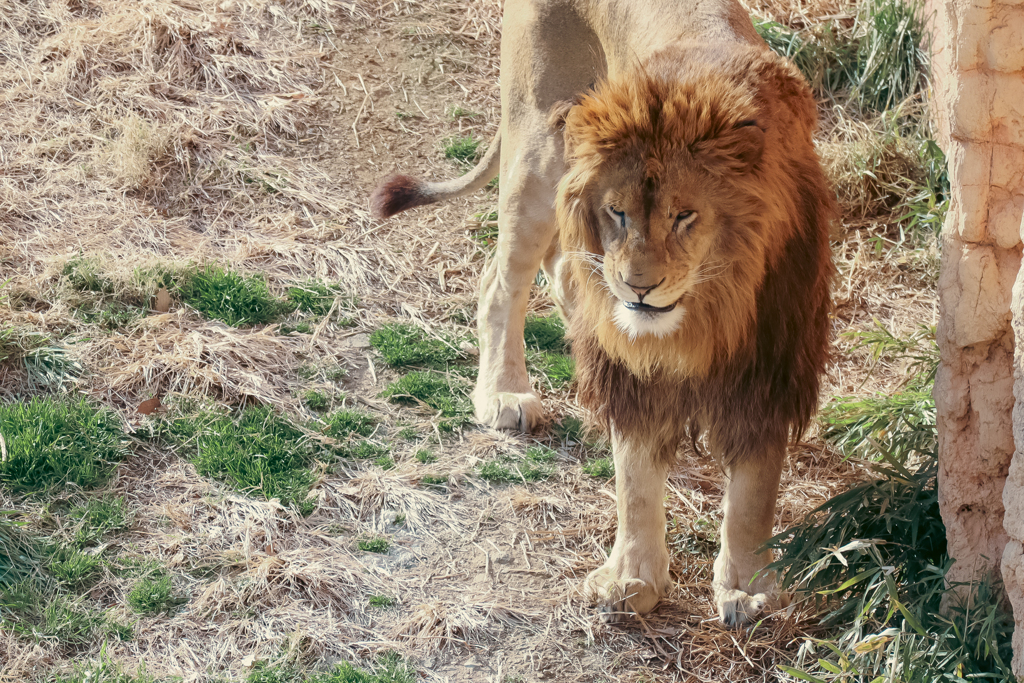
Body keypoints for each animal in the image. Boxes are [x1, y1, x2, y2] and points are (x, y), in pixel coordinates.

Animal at [368, 0, 831, 626]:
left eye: (685, 215)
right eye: (617, 212)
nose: (638, 289)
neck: (708, 310)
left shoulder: (770, 360)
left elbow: (755, 491)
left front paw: (748, 588)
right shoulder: (633, 368)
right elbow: (635, 474)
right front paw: (630, 579)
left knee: (562, 271)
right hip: (539, 156)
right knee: (501, 283)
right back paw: (505, 393)